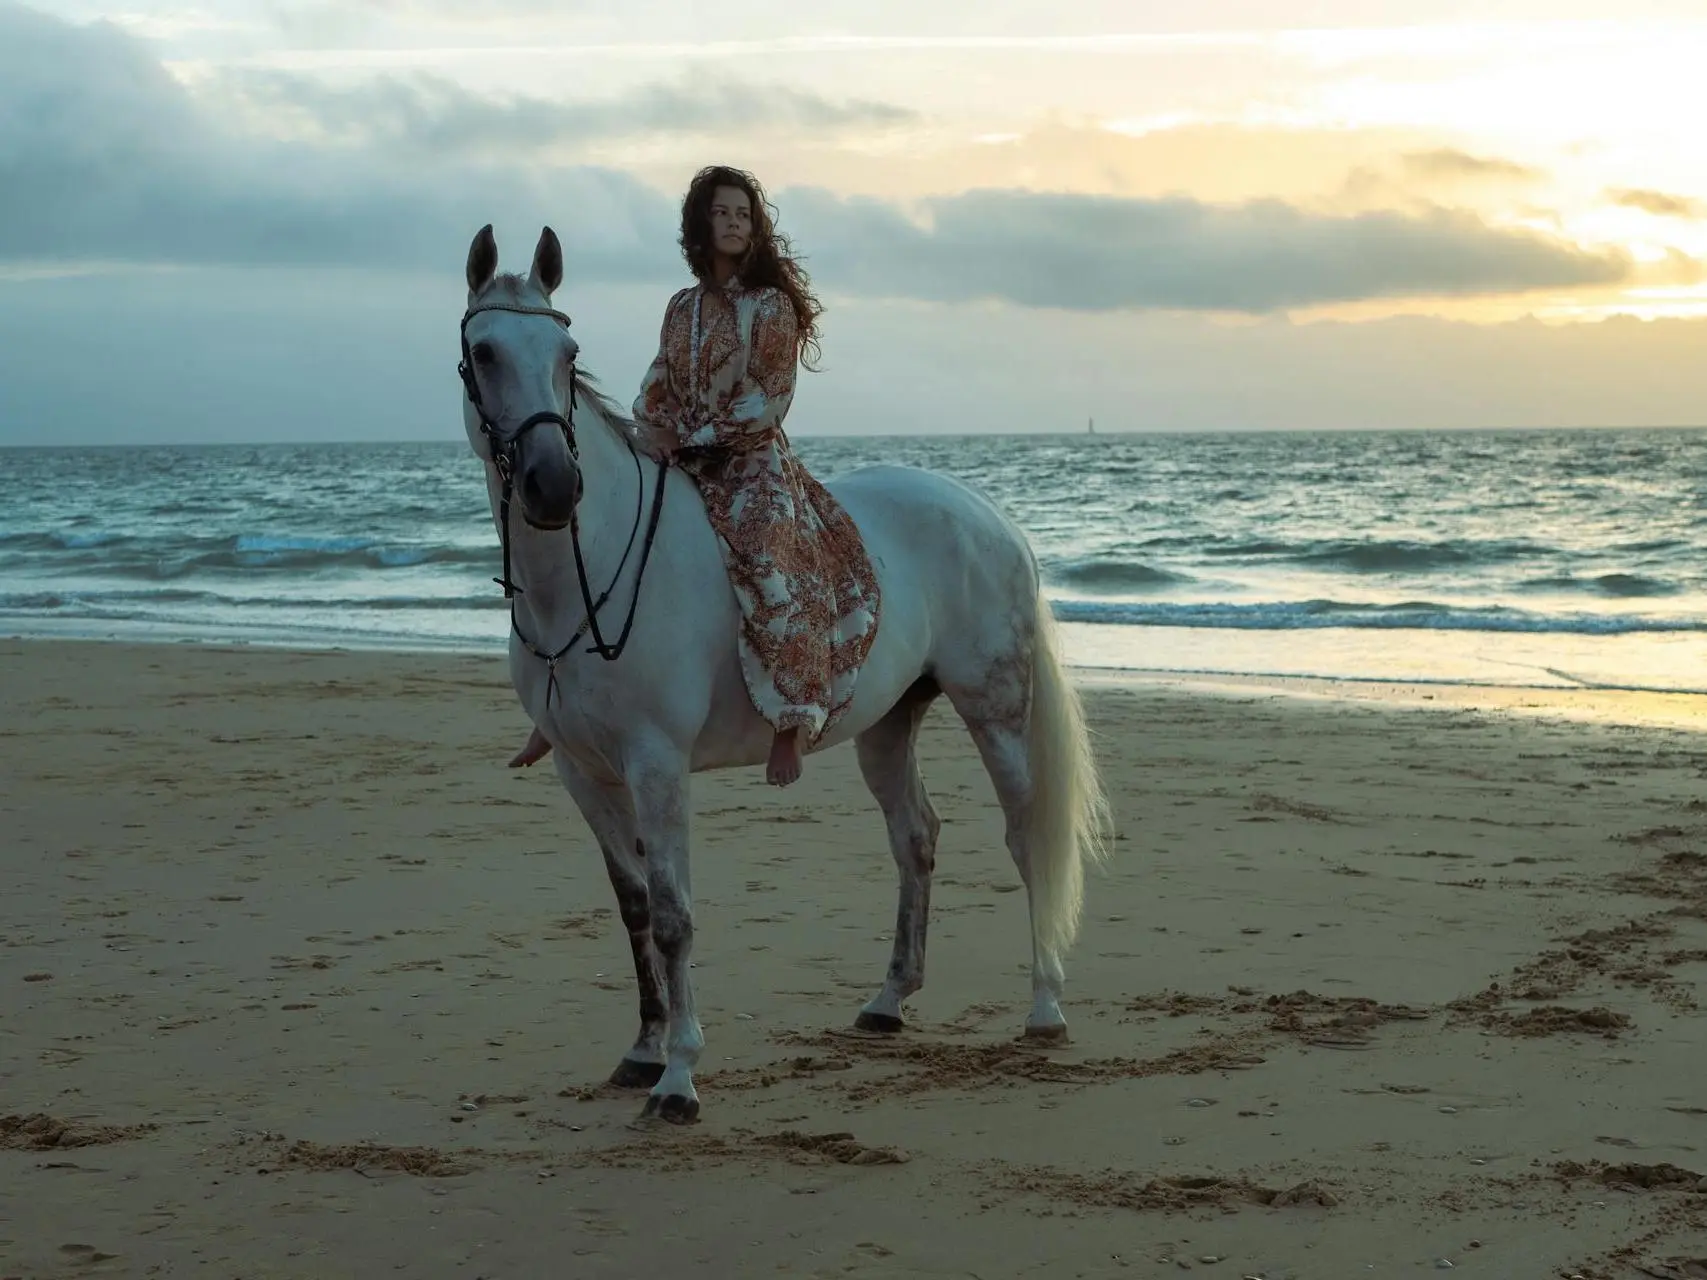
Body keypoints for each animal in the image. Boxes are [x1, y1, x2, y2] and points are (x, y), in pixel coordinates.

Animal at [460, 228, 1112, 1119]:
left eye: (567, 354)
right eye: (483, 351)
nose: (554, 485)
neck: (586, 577)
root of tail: (990, 515)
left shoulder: (657, 764)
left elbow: (673, 916)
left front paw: (678, 1077)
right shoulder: (581, 770)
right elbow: (633, 907)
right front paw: (641, 1049)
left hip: (996, 710)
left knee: (1025, 835)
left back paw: (1044, 1005)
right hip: (887, 724)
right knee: (915, 836)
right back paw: (887, 1000)